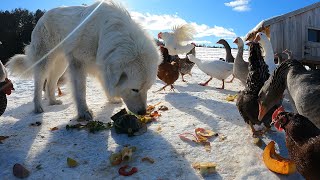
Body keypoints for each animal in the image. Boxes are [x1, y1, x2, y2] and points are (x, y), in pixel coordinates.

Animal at [6, 1, 162, 120]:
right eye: (135, 89)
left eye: (148, 88)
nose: (143, 112)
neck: (102, 32)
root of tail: (43, 16)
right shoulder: (78, 63)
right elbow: (80, 91)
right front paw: (84, 112)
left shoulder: (102, 64)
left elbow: (105, 84)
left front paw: (111, 100)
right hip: (45, 61)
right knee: (39, 84)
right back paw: (38, 107)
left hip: (61, 64)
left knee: (50, 83)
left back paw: (53, 101)